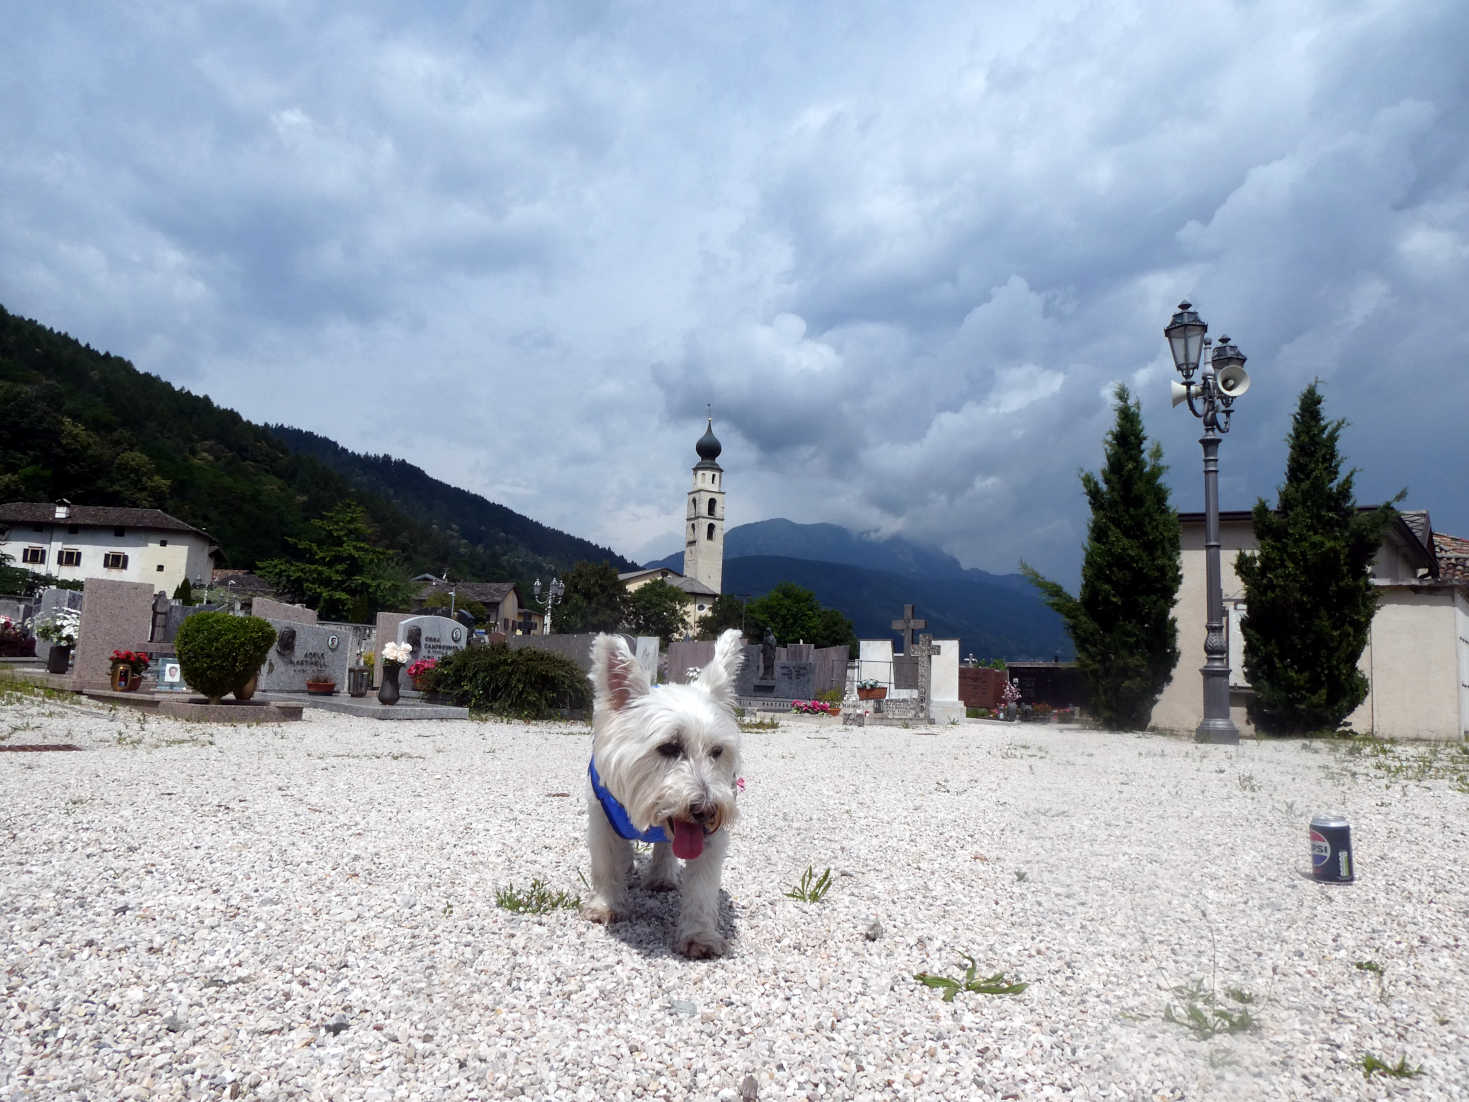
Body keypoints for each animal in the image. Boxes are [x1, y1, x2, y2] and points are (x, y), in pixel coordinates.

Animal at [584, 628, 746, 958]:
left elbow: (701, 888)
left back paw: (661, 876)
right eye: (669, 747)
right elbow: (606, 862)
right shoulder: (602, 817)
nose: (707, 811)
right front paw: (606, 906)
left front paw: (699, 935)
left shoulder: (710, 839)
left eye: (717, 751)